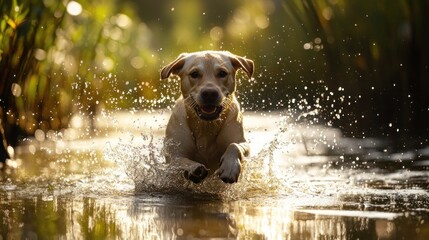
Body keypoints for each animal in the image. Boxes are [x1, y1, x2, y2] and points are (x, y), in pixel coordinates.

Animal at [160, 50, 254, 184]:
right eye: (194, 74)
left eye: (222, 73)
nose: (209, 93)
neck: (206, 126)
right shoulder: (174, 154)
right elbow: (179, 161)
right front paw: (195, 169)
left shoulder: (242, 142)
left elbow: (234, 145)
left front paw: (230, 168)